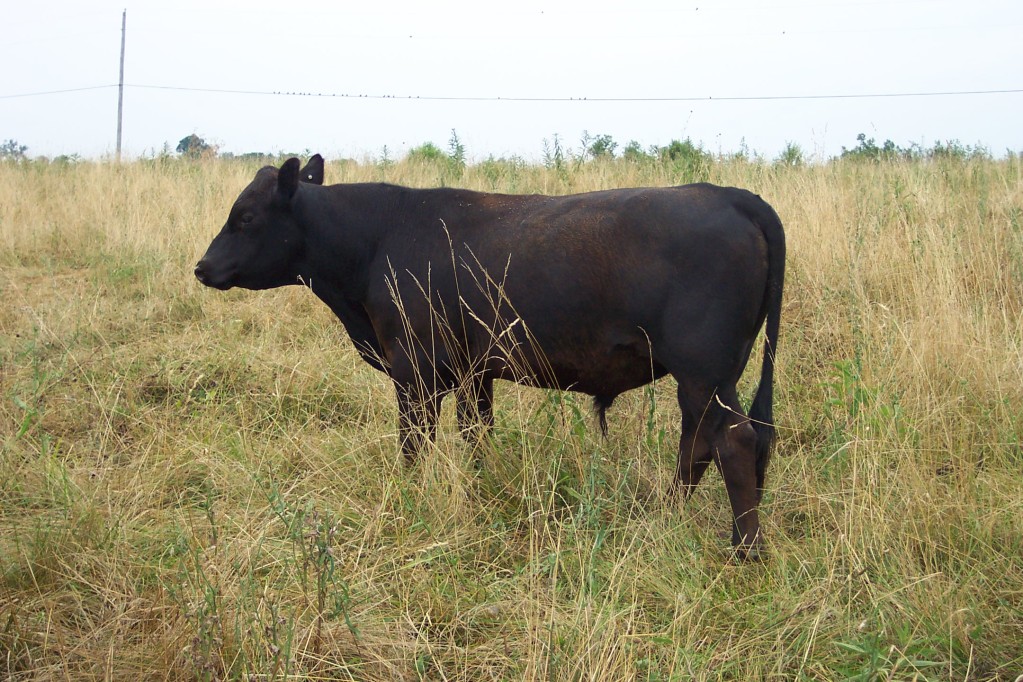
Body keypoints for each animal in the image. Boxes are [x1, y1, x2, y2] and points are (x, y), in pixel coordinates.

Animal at [195, 156, 785, 560]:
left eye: (245, 217)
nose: (201, 267)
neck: (376, 239)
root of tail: (730, 194)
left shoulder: (415, 369)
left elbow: (414, 444)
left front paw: (411, 497)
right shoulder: (472, 372)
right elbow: (476, 432)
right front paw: (483, 489)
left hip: (704, 372)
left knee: (733, 442)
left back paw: (744, 549)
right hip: (708, 379)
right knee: (700, 445)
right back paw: (664, 516)